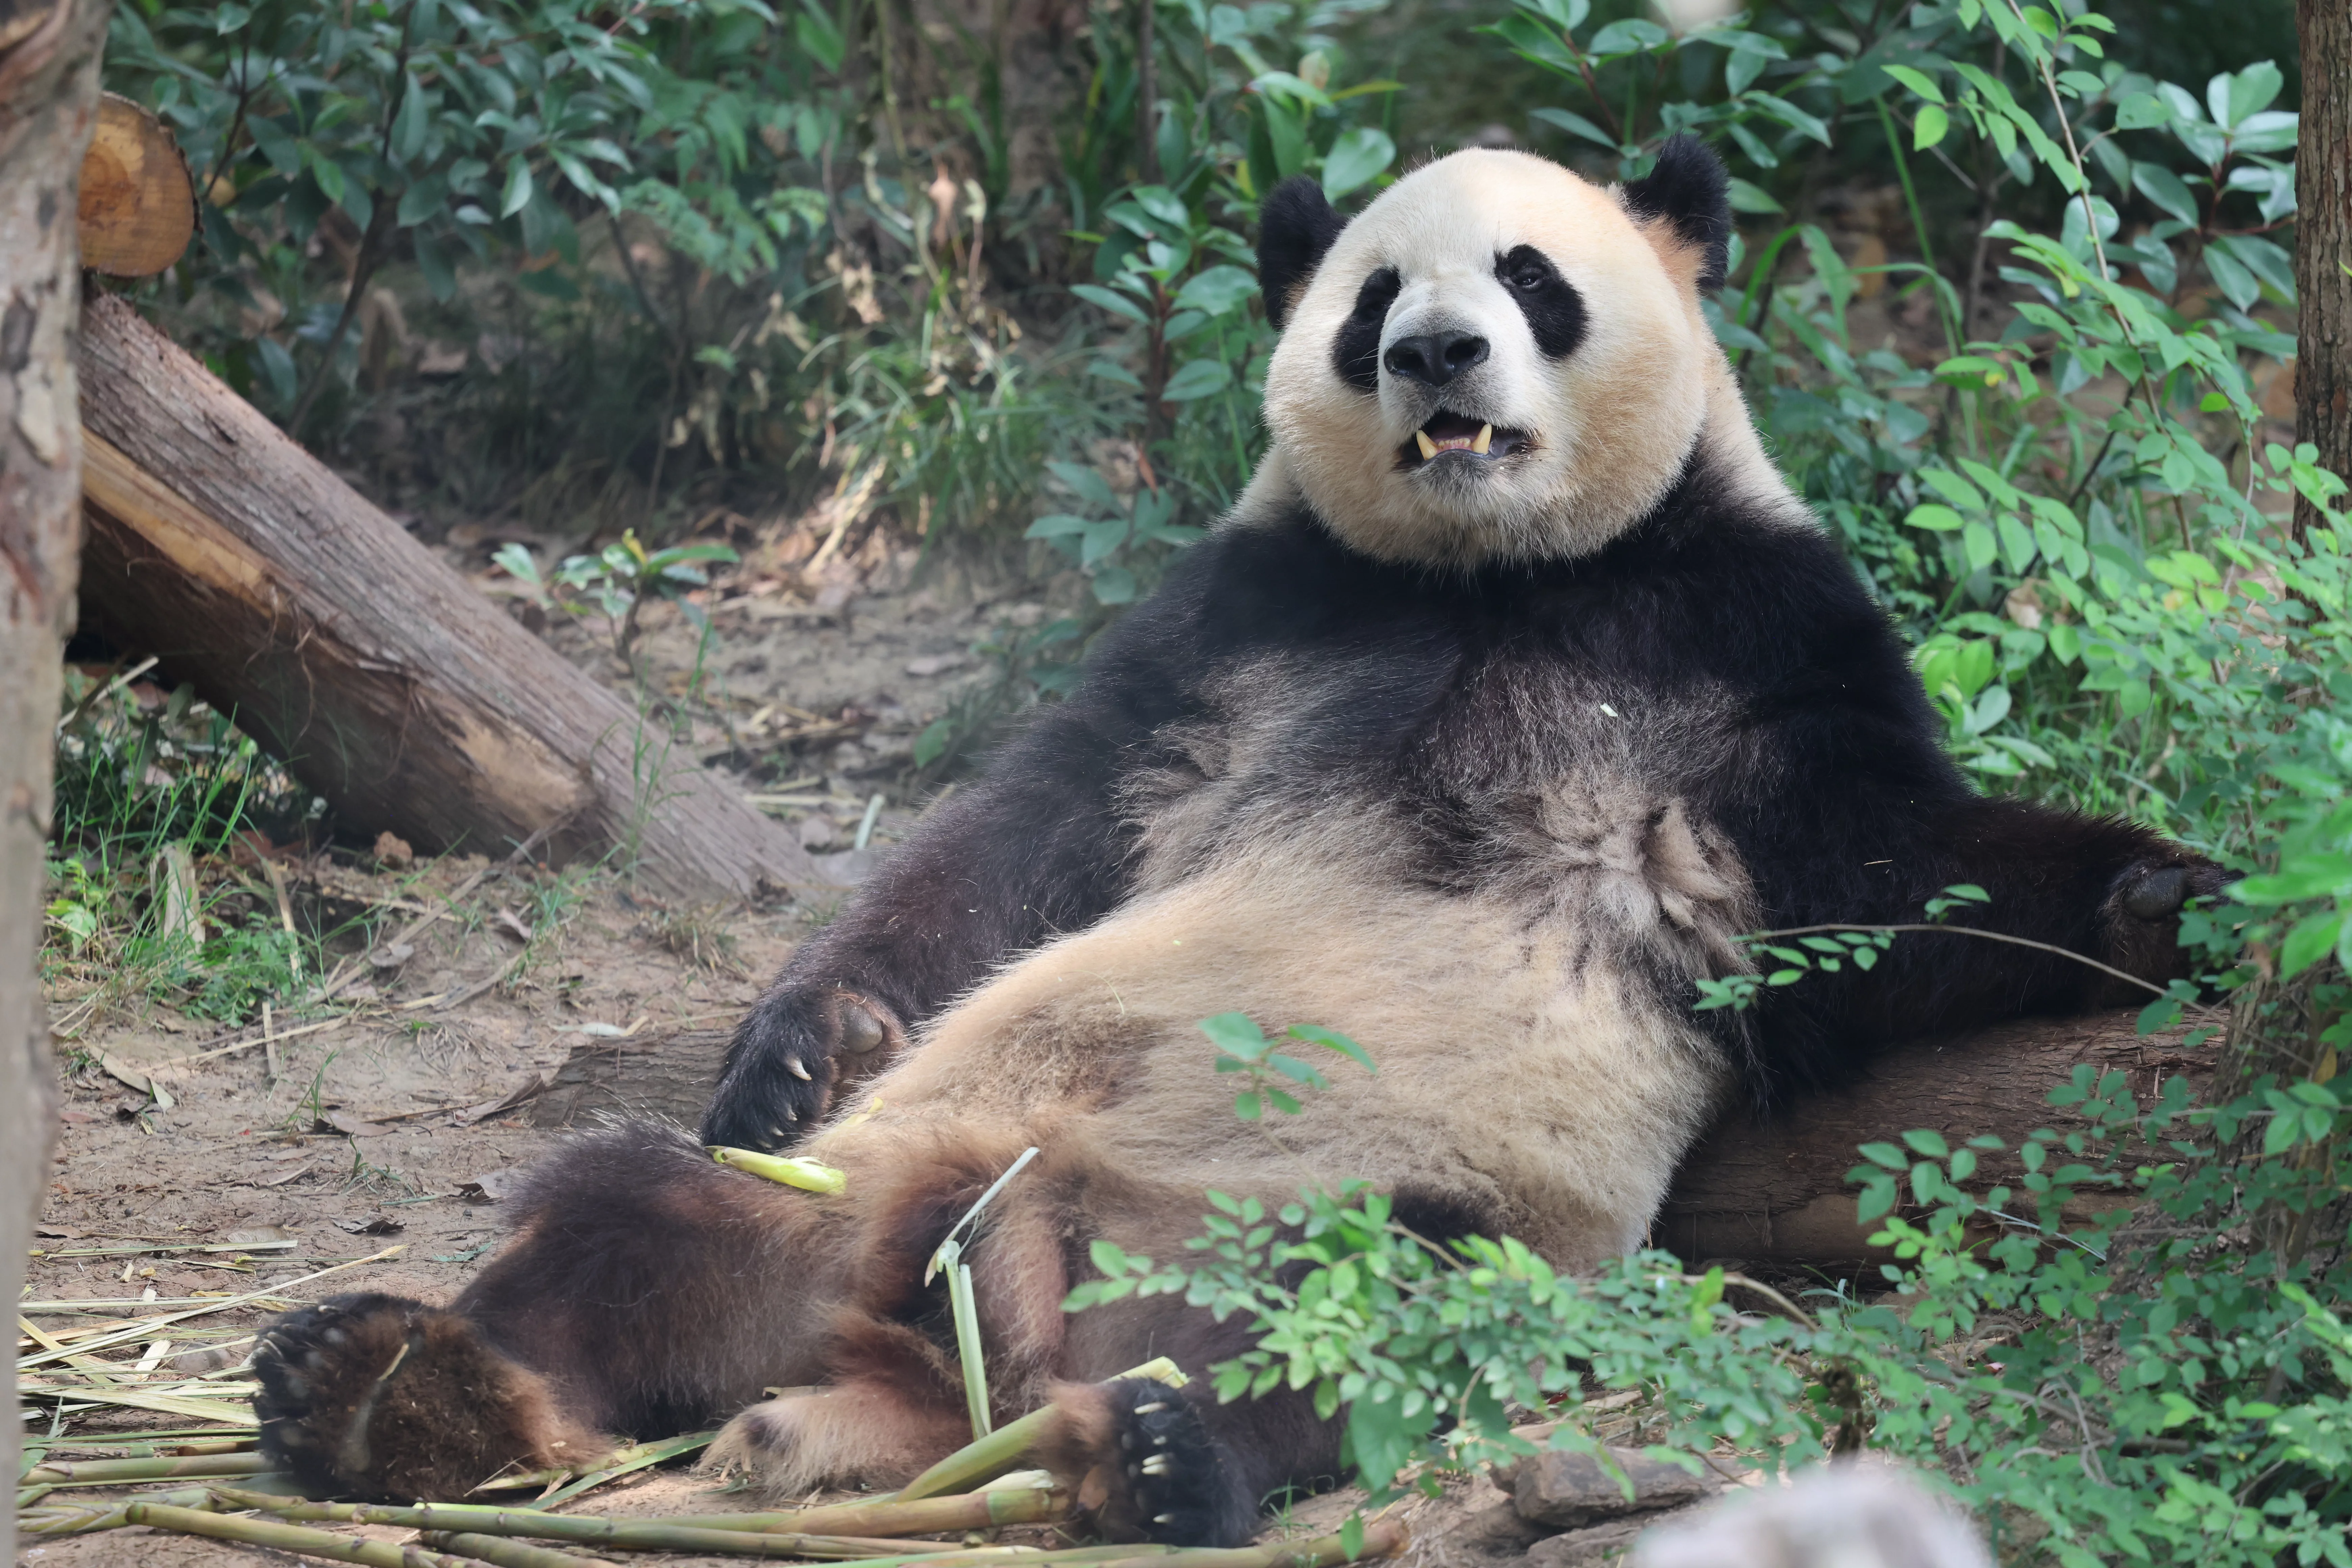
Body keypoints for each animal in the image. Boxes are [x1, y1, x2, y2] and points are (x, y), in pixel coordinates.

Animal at [251, 139, 2214, 1543]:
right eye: (1375, 294)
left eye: (1532, 278)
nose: (1437, 353)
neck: (1496, 579)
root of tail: (929, 1341)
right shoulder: (1241, 618)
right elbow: (1025, 831)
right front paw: (802, 1044)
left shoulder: (1747, 639)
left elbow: (1882, 879)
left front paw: (2164, 896)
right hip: (829, 1208)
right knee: (620, 1215)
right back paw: (381, 1390)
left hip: (1349, 1211)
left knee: (1350, 1327)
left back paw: (1162, 1459)